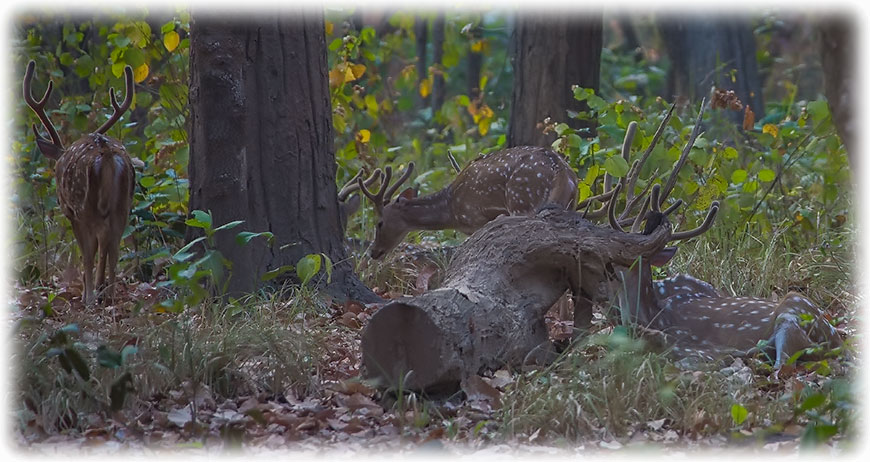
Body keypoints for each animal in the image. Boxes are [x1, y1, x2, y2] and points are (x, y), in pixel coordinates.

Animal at [23, 61, 136, 306]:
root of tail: (107, 154)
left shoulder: (70, 211)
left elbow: (88, 251)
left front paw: (88, 292)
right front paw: (98, 288)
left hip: (84, 203)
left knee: (94, 248)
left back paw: (92, 297)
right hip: (123, 204)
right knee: (114, 245)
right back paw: (109, 293)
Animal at [354, 145, 580, 258]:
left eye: (379, 223)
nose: (373, 252)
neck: (451, 210)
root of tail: (561, 168)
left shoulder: (475, 218)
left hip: (522, 199)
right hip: (569, 204)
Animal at [596, 104, 848, 372]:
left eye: (623, 253)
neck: (654, 317)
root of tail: (838, 342)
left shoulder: (695, 347)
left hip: (792, 314)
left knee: (783, 366)